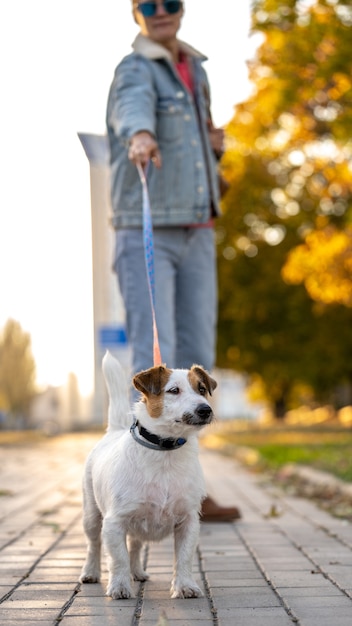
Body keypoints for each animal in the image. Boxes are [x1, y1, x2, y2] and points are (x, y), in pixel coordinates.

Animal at [80, 348, 217, 596]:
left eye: (202, 389)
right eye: (174, 390)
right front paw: (120, 586)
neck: (166, 450)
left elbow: (184, 558)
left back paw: (137, 572)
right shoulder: (114, 523)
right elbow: (118, 559)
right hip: (91, 516)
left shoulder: (188, 522)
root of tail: (114, 430)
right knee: (94, 545)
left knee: (135, 546)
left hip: (138, 524)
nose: (205, 409)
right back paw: (91, 572)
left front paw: (185, 585)